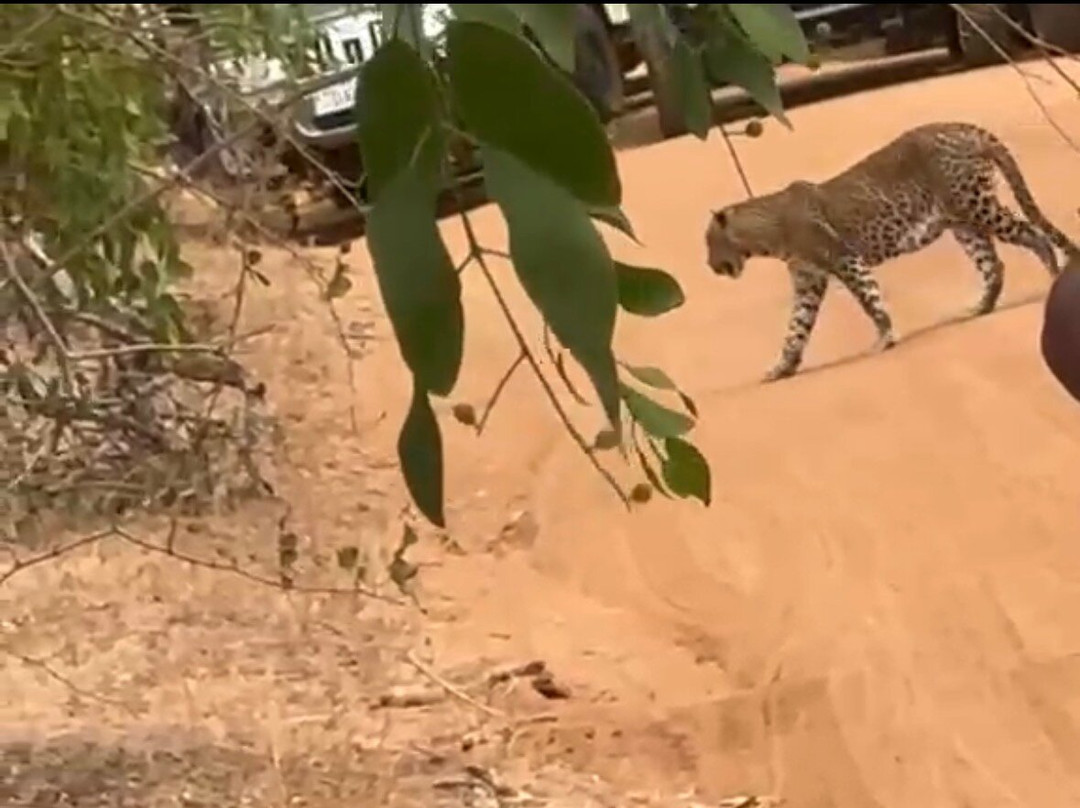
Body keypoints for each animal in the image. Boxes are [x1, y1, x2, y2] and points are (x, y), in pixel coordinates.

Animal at [705, 120, 1079, 383]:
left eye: (710, 242)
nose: (709, 266)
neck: (768, 235)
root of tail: (959, 125)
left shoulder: (844, 260)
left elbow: (868, 299)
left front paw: (884, 338)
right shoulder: (808, 280)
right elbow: (796, 327)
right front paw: (782, 367)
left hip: (977, 206)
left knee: (1033, 234)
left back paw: (1051, 278)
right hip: (962, 222)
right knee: (993, 265)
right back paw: (980, 306)